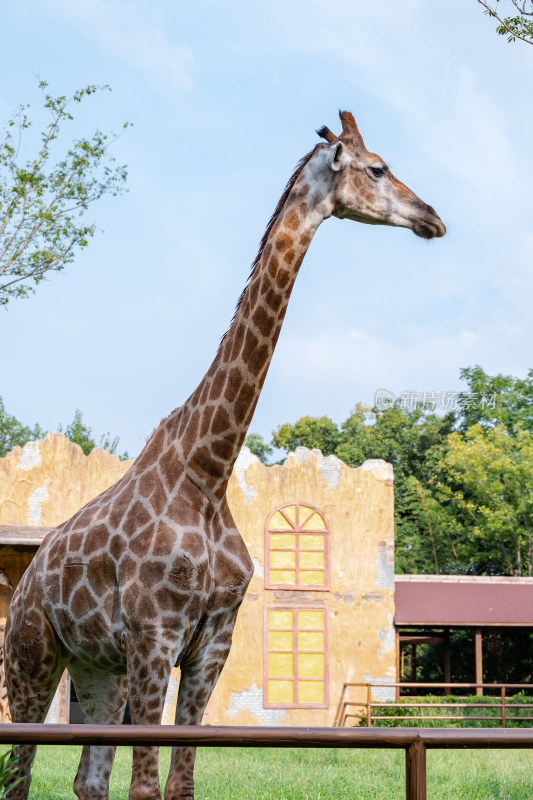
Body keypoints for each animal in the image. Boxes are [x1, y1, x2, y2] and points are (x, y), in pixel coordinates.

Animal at [5, 111, 444, 800]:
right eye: (377, 168)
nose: (433, 217)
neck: (207, 471)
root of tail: (23, 584)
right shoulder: (156, 636)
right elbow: (147, 786)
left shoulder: (213, 641)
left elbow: (178, 783)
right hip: (33, 660)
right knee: (19, 775)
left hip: (98, 670)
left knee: (86, 779)